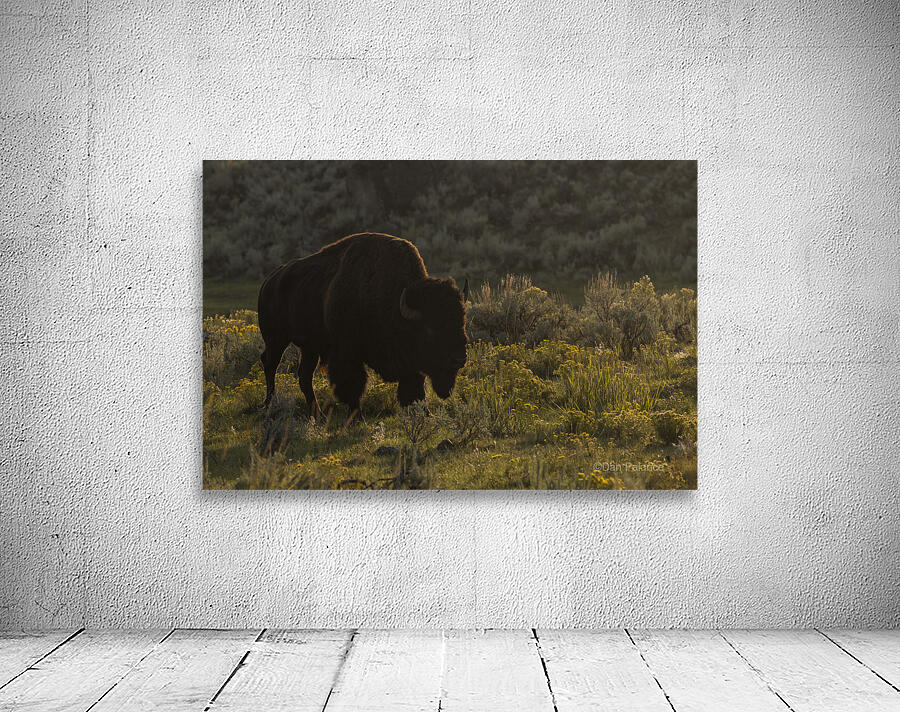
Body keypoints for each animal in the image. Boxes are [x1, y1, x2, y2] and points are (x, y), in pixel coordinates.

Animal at [257, 232, 469, 420]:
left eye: (462, 322)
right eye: (430, 329)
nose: (459, 359)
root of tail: (269, 281)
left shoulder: (410, 363)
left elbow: (416, 387)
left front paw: (425, 413)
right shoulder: (347, 354)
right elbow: (354, 384)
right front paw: (357, 417)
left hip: (309, 348)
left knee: (304, 377)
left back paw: (319, 415)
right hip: (276, 340)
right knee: (270, 365)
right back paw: (269, 406)